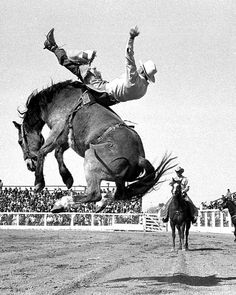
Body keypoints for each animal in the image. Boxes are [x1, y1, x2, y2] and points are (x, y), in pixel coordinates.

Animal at [12, 80, 175, 212]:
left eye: (20, 142)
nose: (29, 165)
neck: (55, 101)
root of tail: (139, 158)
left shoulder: (58, 130)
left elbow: (43, 151)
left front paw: (39, 183)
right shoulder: (66, 138)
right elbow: (58, 153)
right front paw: (67, 178)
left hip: (91, 157)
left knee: (94, 194)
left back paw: (61, 203)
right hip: (117, 178)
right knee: (119, 194)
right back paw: (100, 204)